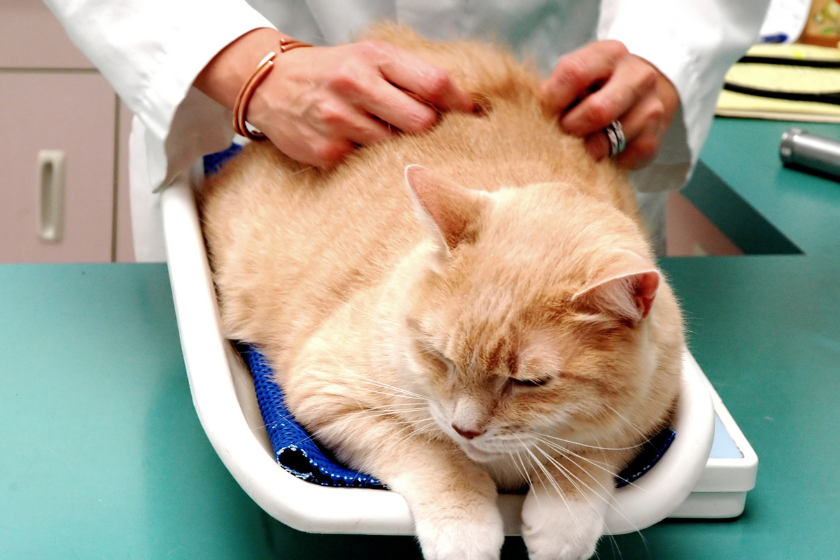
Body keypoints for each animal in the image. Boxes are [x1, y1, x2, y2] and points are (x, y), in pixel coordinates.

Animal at [202, 24, 684, 560]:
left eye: (530, 383)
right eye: (439, 357)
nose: (465, 428)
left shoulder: (647, 420)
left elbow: (589, 458)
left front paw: (564, 524)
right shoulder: (329, 394)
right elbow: (435, 457)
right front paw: (465, 530)